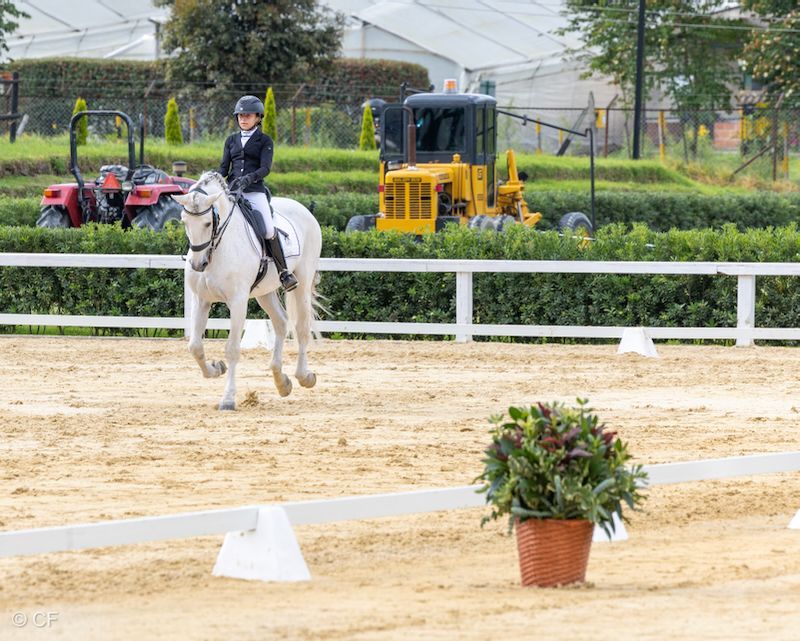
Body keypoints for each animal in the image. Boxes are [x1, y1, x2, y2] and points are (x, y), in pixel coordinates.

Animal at [172, 171, 321, 410]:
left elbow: (232, 349)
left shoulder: (238, 301)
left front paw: (228, 399)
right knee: (281, 322)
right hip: (264, 292)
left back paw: (304, 376)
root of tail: (302, 208)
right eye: (184, 221)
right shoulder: (201, 299)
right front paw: (216, 368)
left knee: (301, 328)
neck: (217, 248)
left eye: (207, 223)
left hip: (303, 282)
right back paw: (282, 382)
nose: (197, 264)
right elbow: (194, 346)